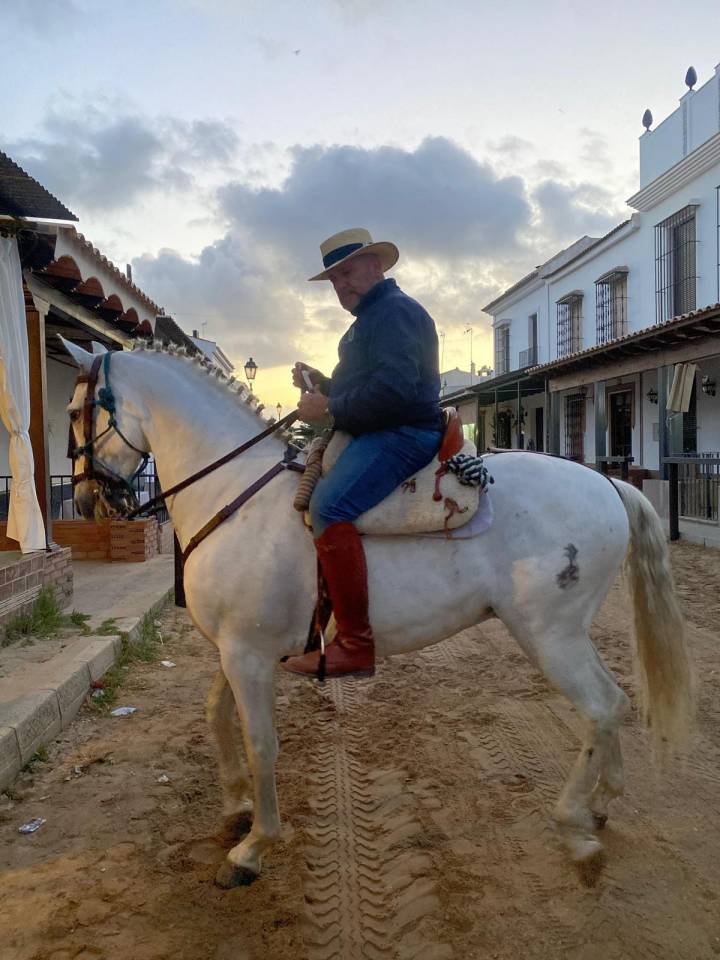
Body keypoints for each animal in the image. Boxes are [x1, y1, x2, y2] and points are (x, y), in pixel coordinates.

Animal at [62, 336, 693, 888]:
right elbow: (217, 716)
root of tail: (607, 483)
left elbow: (261, 742)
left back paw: (574, 826)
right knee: (614, 704)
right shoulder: (235, 649)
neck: (235, 496)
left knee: (601, 706)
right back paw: (602, 803)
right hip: (568, 634)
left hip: (550, 636)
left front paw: (254, 846)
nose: (88, 500)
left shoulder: (247, 655)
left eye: (72, 411)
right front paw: (236, 805)